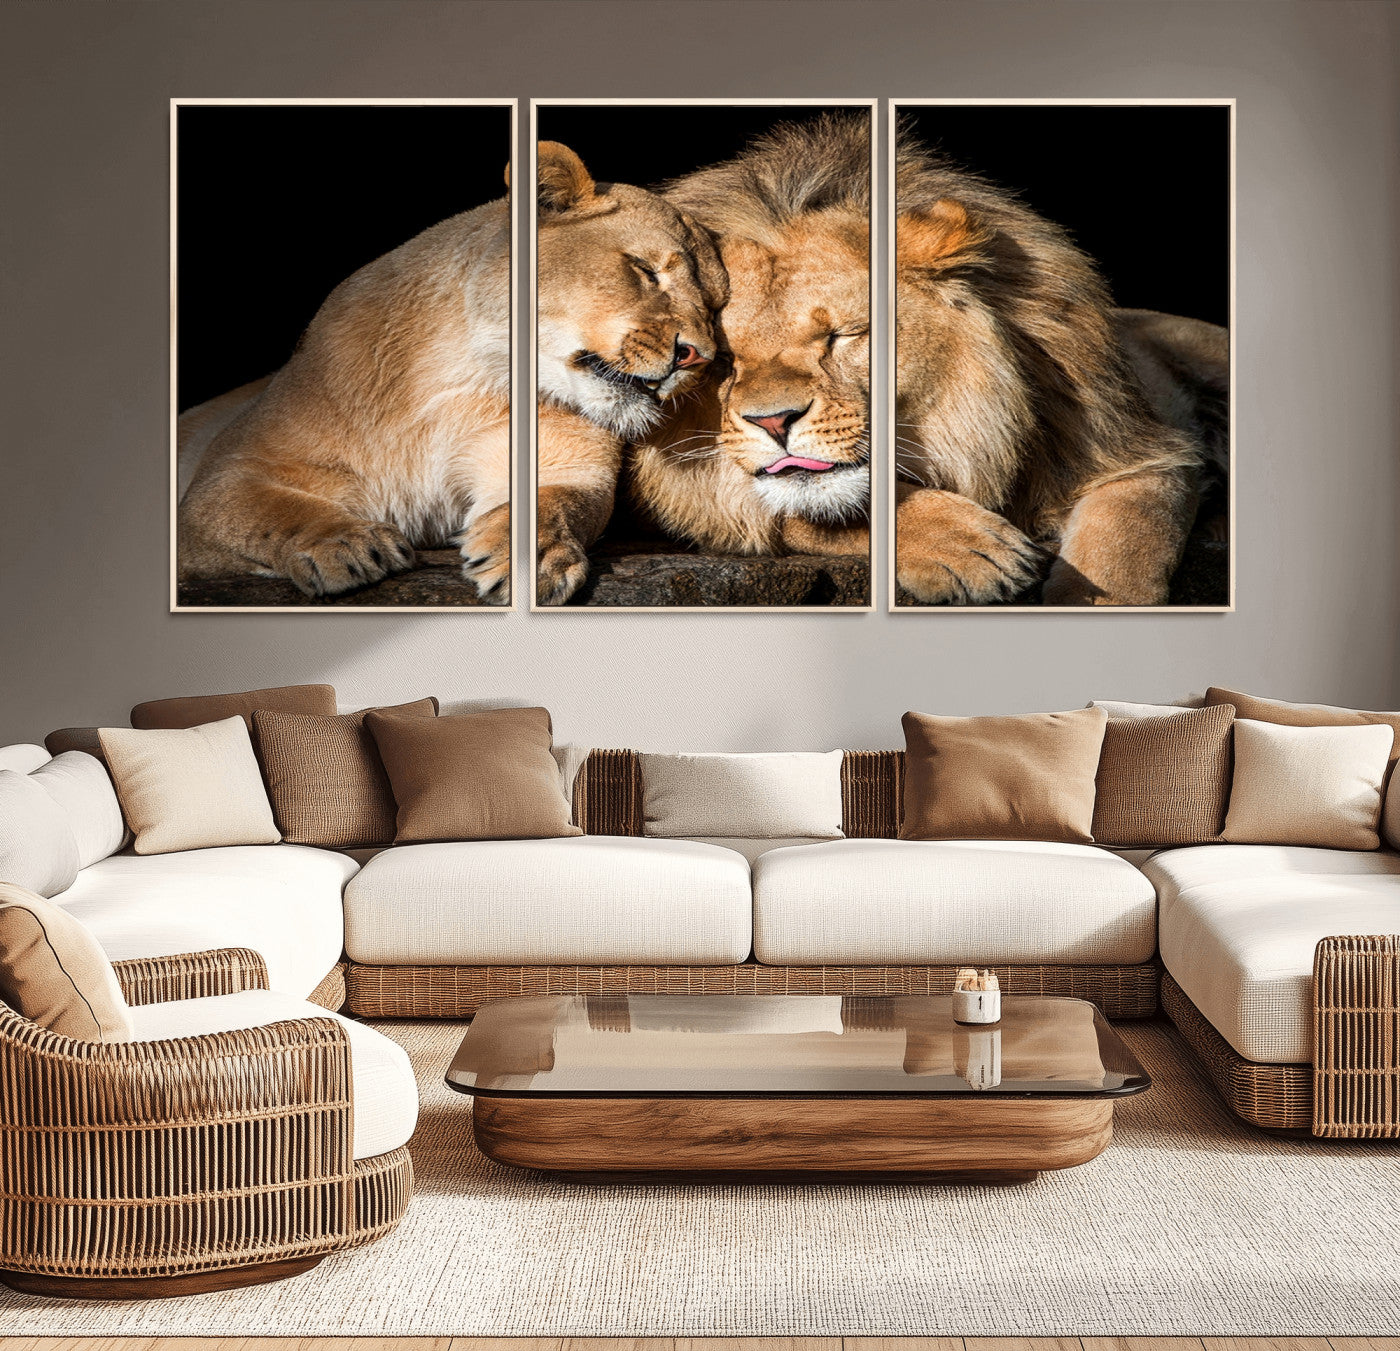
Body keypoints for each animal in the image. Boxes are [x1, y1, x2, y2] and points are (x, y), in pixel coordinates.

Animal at [178, 142, 724, 603]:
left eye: (716, 307)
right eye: (646, 270)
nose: (697, 356)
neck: (464, 379)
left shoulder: (567, 463)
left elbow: (554, 503)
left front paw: (534, 560)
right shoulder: (225, 476)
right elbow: (266, 510)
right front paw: (346, 545)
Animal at [619, 115, 1225, 607]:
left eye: (846, 334)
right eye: (723, 359)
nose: (773, 421)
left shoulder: (1142, 446)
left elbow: (1124, 544)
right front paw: (969, 549)